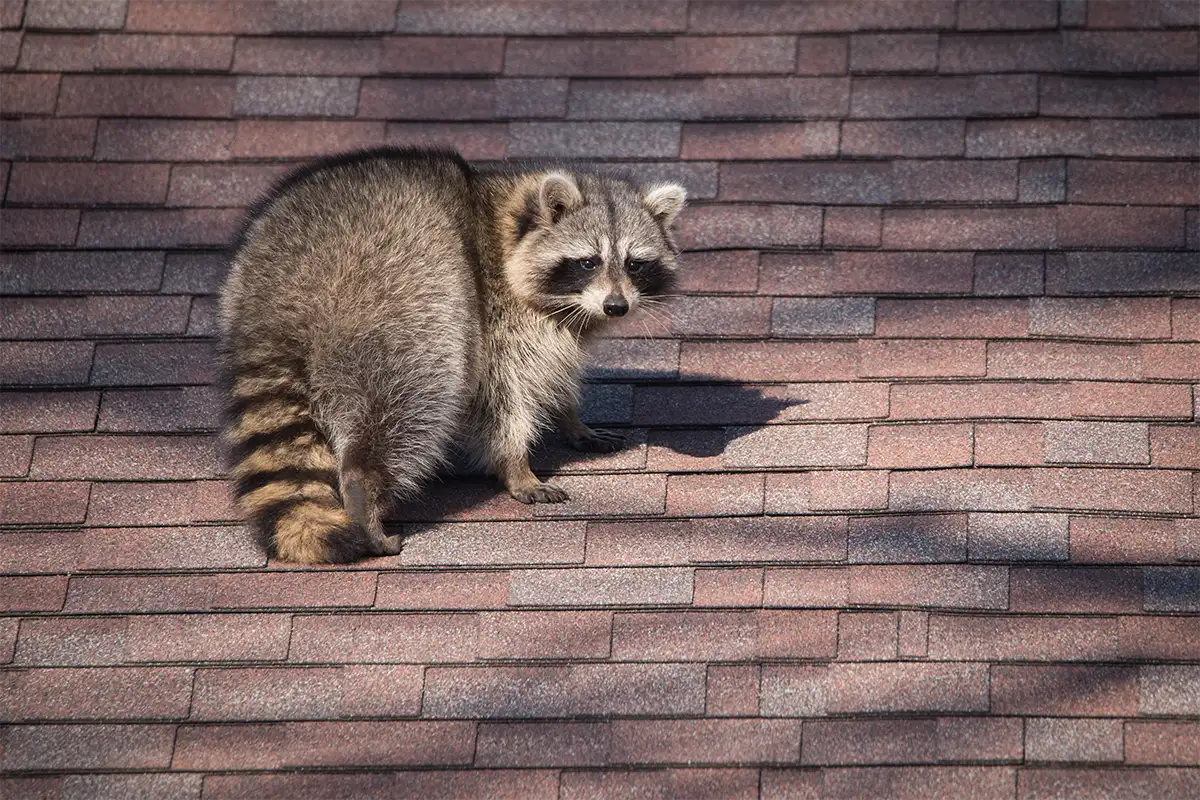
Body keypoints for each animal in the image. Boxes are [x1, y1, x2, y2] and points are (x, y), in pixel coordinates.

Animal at [218, 148, 686, 564]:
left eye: (634, 263)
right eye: (588, 262)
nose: (616, 306)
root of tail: (282, 291)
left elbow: (555, 372)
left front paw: (569, 418)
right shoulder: (497, 315)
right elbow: (502, 394)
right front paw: (516, 464)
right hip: (402, 299)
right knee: (414, 394)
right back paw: (363, 487)